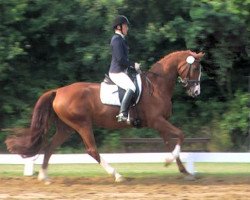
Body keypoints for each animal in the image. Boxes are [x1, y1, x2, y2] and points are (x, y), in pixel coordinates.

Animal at [5, 50, 205, 183]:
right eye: (195, 68)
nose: (196, 92)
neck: (156, 86)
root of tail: (58, 91)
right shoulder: (157, 121)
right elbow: (180, 135)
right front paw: (169, 163)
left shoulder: (161, 123)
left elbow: (171, 144)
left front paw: (184, 171)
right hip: (82, 125)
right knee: (91, 150)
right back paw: (117, 175)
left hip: (66, 128)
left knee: (49, 147)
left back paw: (44, 176)